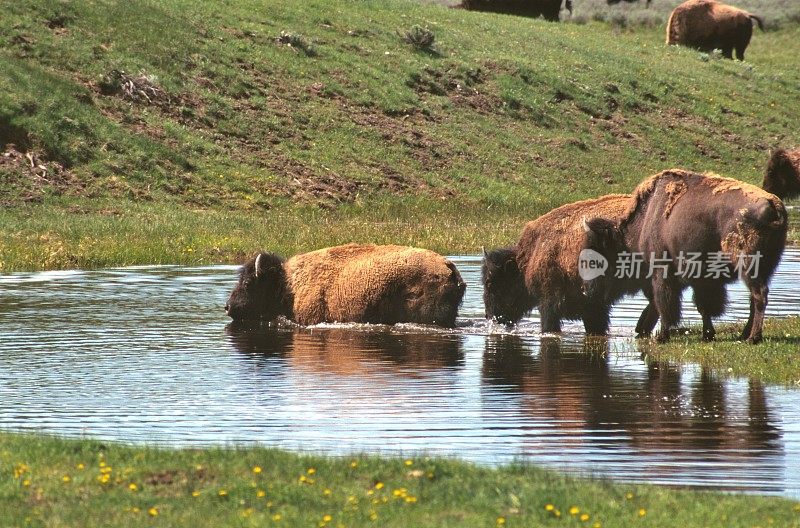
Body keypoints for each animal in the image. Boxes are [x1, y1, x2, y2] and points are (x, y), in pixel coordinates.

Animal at [580, 168, 788, 342]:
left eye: (596, 259)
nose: (587, 290)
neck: (645, 220)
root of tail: (773, 205)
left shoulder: (662, 273)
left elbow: (666, 305)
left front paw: (662, 337)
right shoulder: (700, 279)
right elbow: (703, 306)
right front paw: (708, 335)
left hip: (748, 265)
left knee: (759, 295)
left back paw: (753, 337)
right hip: (764, 267)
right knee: (754, 298)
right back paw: (745, 334)